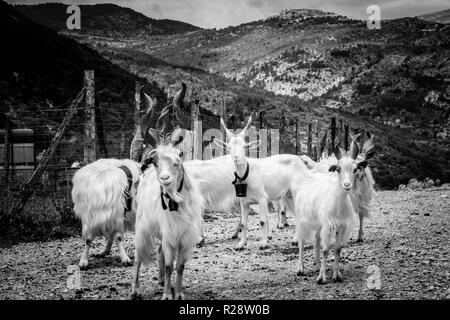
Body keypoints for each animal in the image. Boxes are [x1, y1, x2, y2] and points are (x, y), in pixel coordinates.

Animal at [132, 144, 202, 298]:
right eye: (156, 163)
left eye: (176, 163)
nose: (165, 178)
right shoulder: (169, 235)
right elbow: (170, 266)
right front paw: (167, 295)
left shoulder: (184, 237)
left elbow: (180, 266)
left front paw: (179, 293)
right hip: (141, 229)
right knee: (138, 258)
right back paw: (135, 291)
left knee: (160, 252)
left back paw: (161, 279)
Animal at [215, 115, 310, 250]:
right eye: (229, 147)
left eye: (245, 146)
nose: (237, 157)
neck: (248, 175)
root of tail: (301, 163)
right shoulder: (244, 202)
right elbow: (243, 223)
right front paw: (241, 244)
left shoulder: (262, 198)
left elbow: (262, 221)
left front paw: (264, 243)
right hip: (288, 196)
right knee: (297, 215)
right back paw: (296, 241)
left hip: (298, 192)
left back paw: (298, 241)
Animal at [294, 144, 364, 284]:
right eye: (338, 169)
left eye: (355, 169)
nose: (347, 185)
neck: (337, 204)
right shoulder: (327, 224)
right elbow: (326, 250)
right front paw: (322, 278)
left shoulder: (341, 225)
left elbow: (337, 249)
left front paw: (337, 275)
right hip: (301, 219)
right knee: (301, 241)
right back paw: (301, 269)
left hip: (319, 223)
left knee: (316, 238)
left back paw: (317, 265)